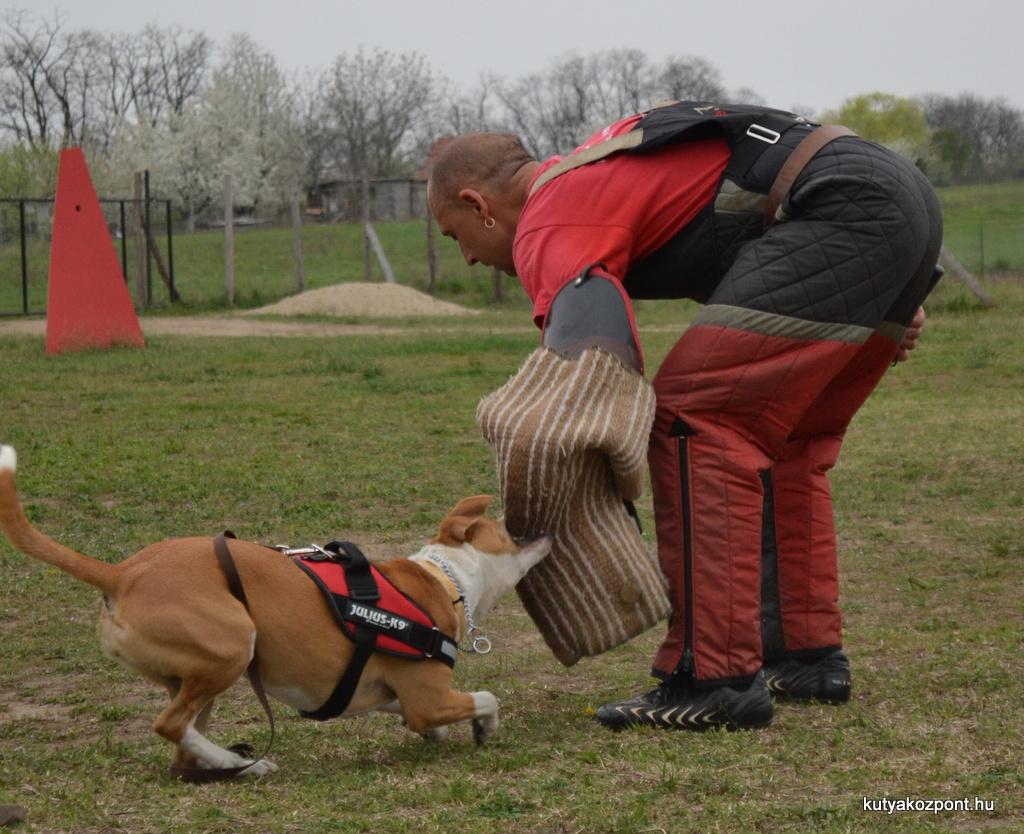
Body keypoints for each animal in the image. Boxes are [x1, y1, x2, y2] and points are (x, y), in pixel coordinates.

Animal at [0, 446, 552, 778]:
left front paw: (438, 734)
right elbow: (486, 697)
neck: (444, 578)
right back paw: (249, 765)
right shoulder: (426, 697)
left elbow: (422, 717)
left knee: (183, 743)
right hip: (231, 645)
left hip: (197, 671)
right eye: (509, 527)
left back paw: (227, 764)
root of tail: (120, 573)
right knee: (171, 726)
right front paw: (482, 727)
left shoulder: (397, 696)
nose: (544, 527)